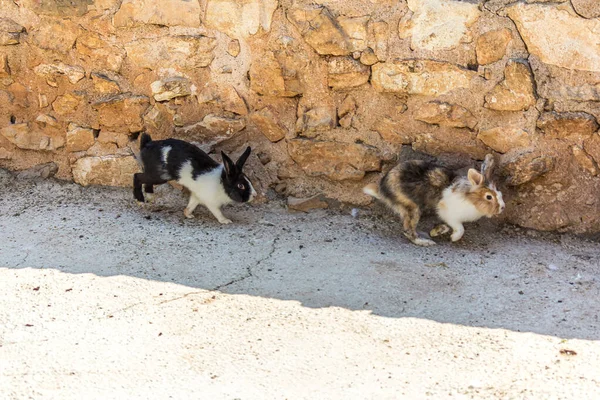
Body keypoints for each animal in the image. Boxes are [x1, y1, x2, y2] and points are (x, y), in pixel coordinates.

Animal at [364, 154, 504, 245]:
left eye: (499, 191)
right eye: (489, 197)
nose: (502, 208)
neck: (470, 199)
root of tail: (382, 189)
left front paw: (438, 231)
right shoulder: (449, 215)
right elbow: (460, 228)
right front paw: (453, 238)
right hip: (412, 208)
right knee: (408, 230)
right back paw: (425, 242)